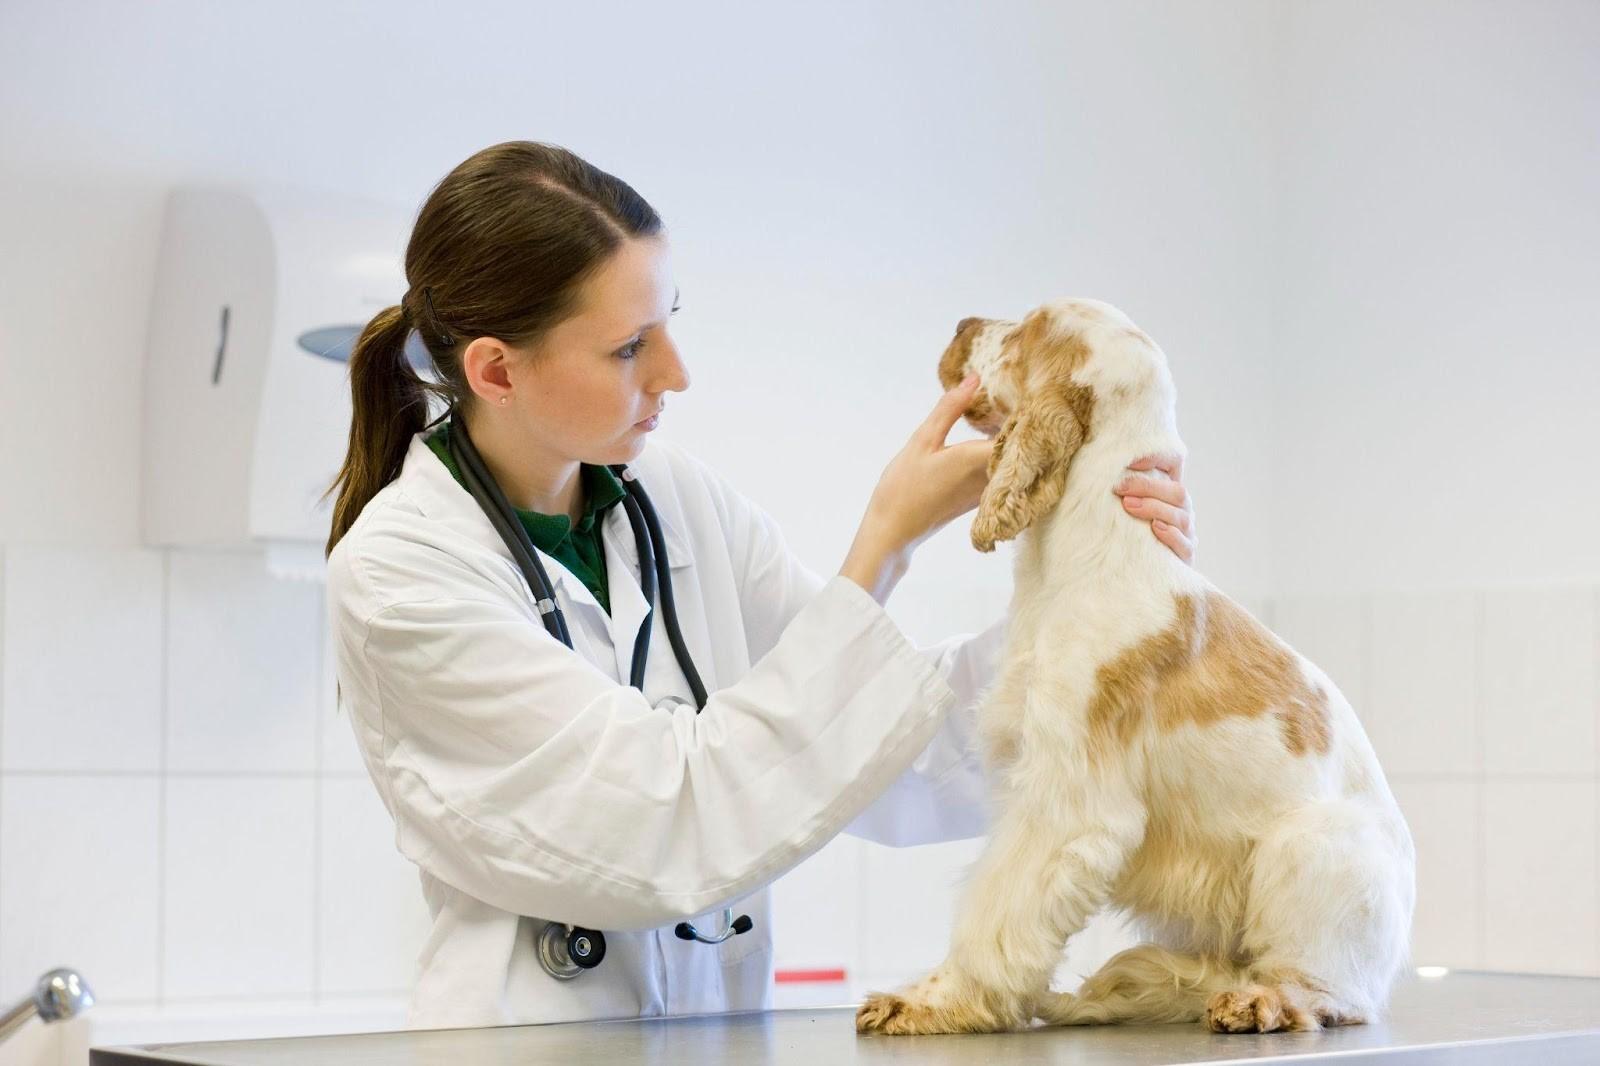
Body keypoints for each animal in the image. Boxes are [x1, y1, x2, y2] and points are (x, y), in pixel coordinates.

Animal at [851, 296, 1414, 1030]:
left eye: (1029, 327)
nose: (962, 324)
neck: (1082, 558)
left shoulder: (1066, 800)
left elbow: (993, 914)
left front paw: (932, 1000)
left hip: (1310, 850)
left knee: (1332, 990)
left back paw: (1260, 1000)